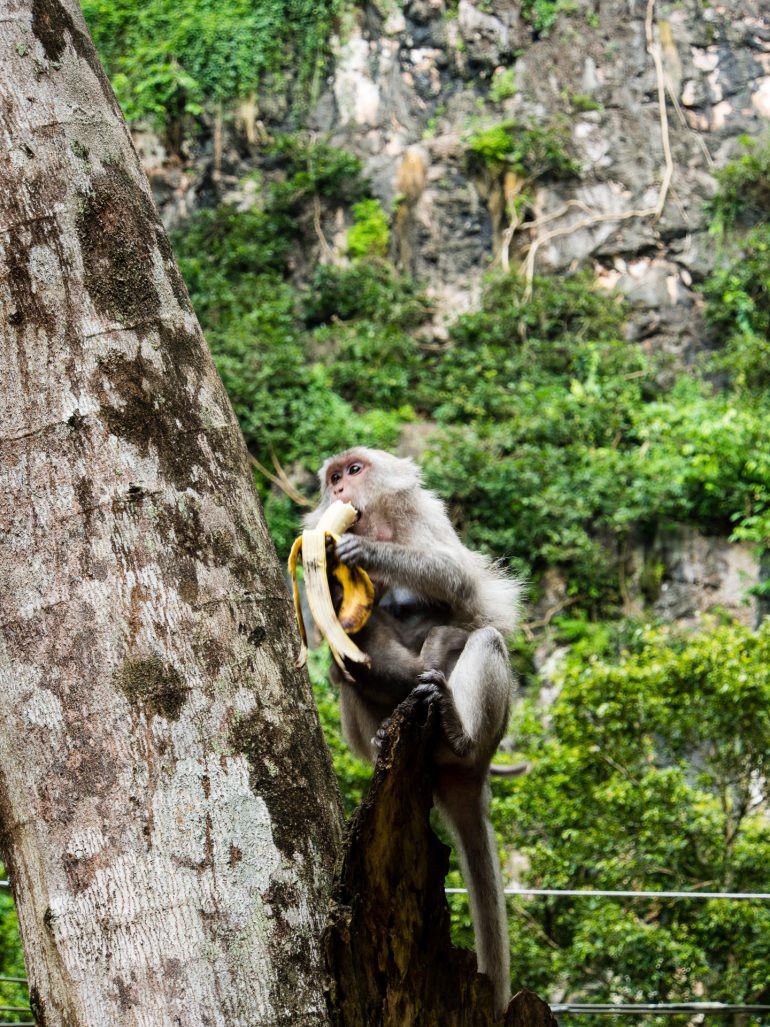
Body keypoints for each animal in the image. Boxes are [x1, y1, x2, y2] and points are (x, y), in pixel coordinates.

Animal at [303, 445, 521, 1014]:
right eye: (333, 477)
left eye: (355, 470)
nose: (340, 489)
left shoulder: (424, 516)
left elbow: (458, 580)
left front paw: (366, 552)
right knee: (348, 674)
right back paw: (383, 721)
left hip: (487, 730)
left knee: (482, 640)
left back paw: (456, 729)